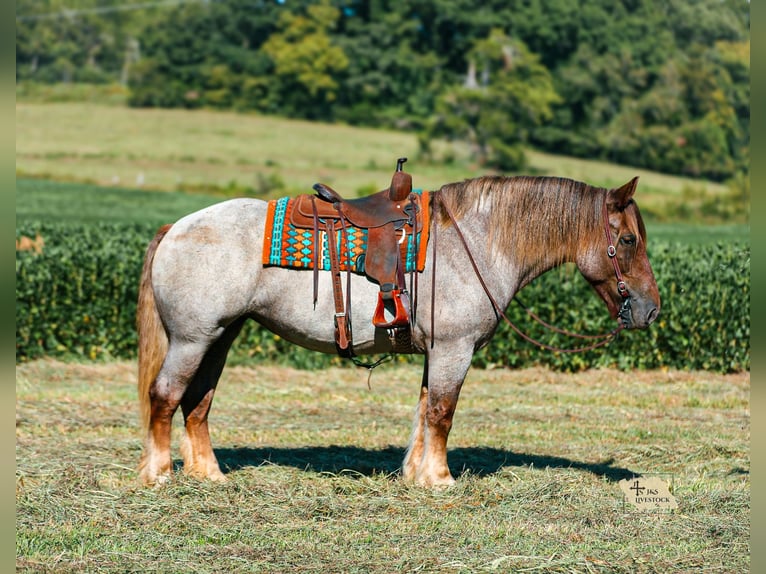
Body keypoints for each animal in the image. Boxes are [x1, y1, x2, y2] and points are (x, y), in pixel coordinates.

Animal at [136, 174, 660, 487]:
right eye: (627, 239)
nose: (651, 310)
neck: (476, 241)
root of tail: (176, 227)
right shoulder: (455, 349)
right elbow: (443, 412)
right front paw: (441, 480)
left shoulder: (438, 352)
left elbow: (425, 410)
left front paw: (416, 474)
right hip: (193, 340)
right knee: (165, 396)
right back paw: (159, 474)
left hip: (219, 338)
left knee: (197, 402)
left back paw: (208, 474)